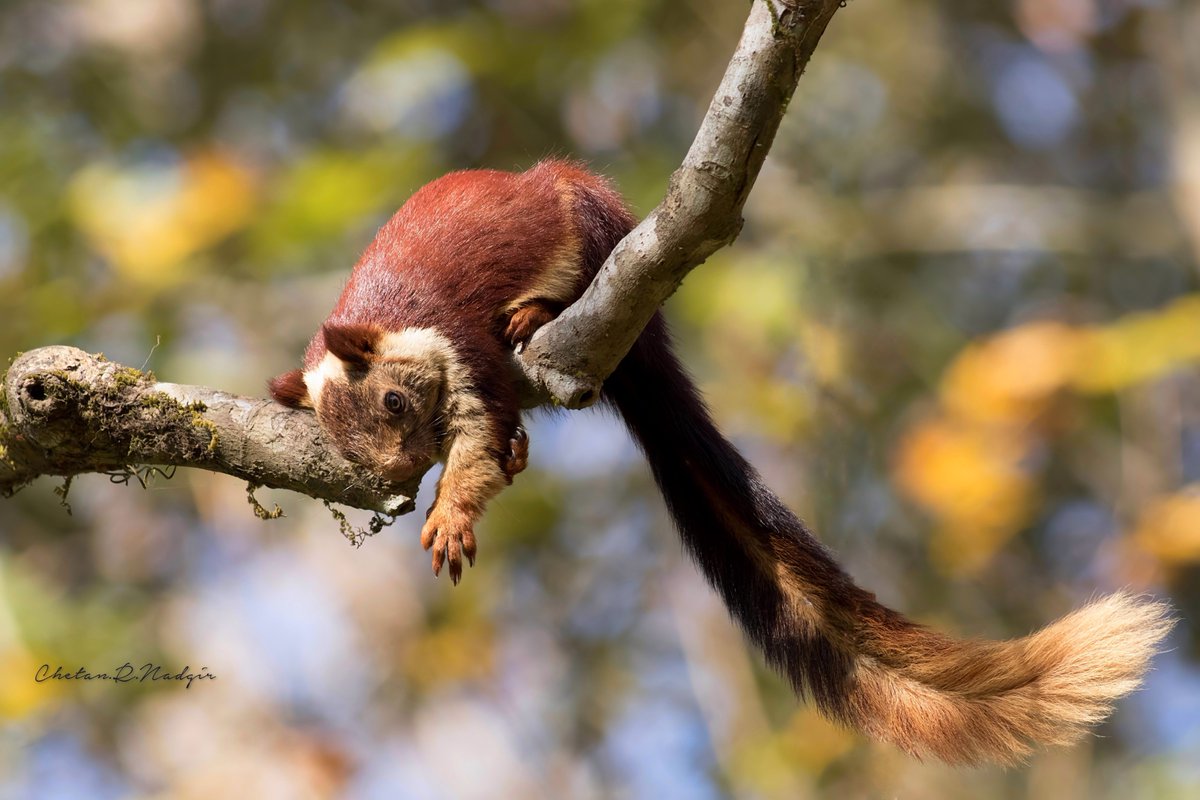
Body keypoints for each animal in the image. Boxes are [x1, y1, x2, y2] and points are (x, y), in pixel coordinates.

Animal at [270, 159, 1173, 765]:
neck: (391, 314)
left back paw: (538, 311)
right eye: (349, 454)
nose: (398, 473)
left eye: (394, 403)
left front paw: (452, 516)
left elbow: (478, 442)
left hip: (586, 214)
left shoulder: (466, 358)